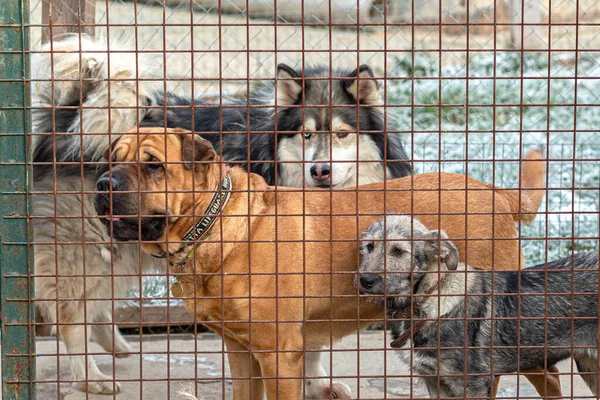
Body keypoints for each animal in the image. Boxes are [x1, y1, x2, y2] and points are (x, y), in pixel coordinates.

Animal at [94, 129, 556, 400]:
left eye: (153, 165)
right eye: (112, 159)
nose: (102, 185)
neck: (216, 224)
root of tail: (496, 192)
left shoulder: (279, 354)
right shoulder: (241, 351)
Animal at [358, 217, 596, 398]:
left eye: (398, 251)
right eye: (369, 247)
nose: (365, 280)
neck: (427, 297)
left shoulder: (472, 383)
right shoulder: (434, 380)